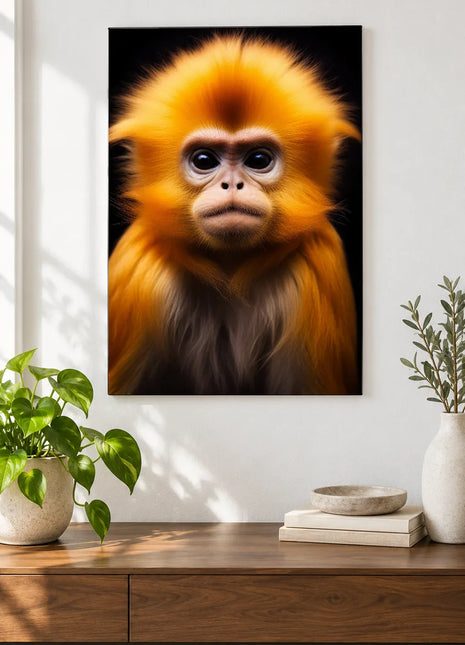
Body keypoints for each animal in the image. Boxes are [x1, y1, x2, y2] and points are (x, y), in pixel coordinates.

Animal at [109, 34, 360, 395]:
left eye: (258, 159)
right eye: (203, 160)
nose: (232, 184)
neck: (230, 267)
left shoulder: (320, 263)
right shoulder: (136, 271)